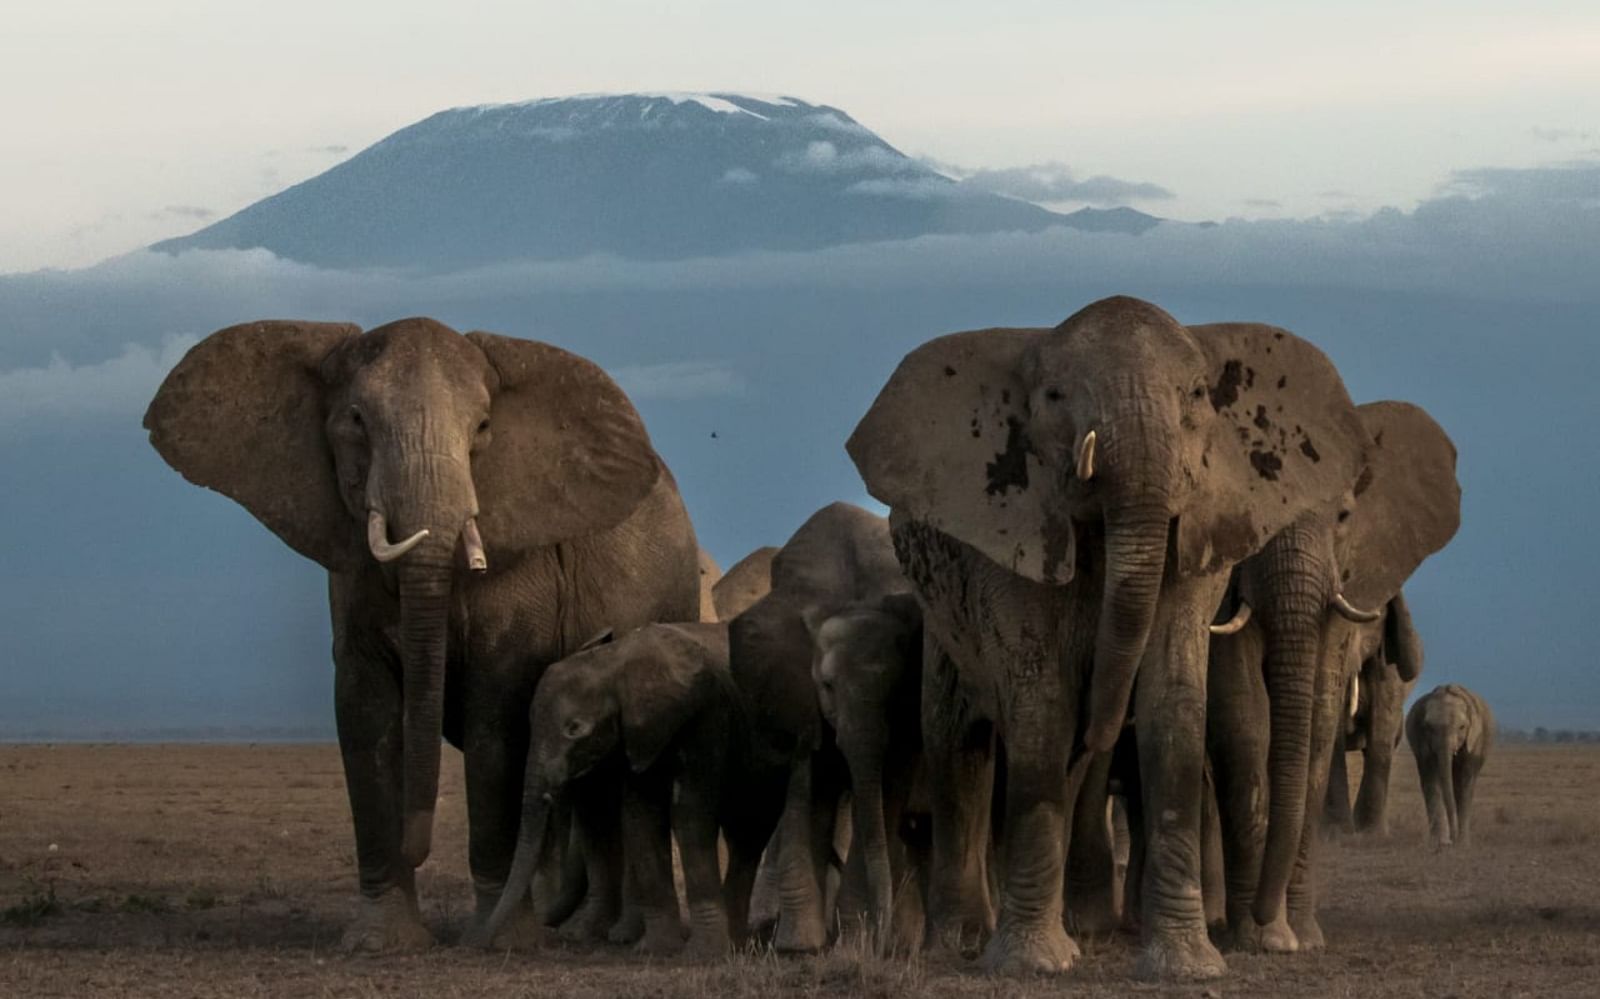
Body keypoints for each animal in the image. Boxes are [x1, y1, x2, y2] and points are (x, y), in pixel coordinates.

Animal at [143, 318, 701, 951]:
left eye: (482, 428)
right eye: (356, 420)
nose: (418, 847)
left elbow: (495, 721)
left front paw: (497, 940)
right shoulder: (349, 571)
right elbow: (364, 713)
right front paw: (381, 940)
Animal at [467, 622, 780, 956]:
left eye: (574, 729)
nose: (479, 942)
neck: (614, 663)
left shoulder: (706, 717)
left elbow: (690, 814)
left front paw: (702, 953)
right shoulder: (634, 736)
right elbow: (641, 817)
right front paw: (655, 949)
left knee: (749, 831)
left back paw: (734, 943)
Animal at [726, 502, 914, 954]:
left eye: (896, 690)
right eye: (826, 686)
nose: (885, 944)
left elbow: (882, 795)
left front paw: (852, 941)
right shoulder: (793, 689)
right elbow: (808, 782)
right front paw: (800, 946)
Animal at [848, 295, 1373, 979]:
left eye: (1198, 393)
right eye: (1053, 395)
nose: (1263, 924)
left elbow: (1174, 705)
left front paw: (1187, 966)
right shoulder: (1014, 528)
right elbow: (1042, 703)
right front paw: (1033, 965)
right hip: (940, 616)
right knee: (957, 743)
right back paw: (962, 941)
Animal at [1406, 683, 1494, 849]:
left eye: (1462, 727)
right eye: (1428, 727)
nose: (1453, 839)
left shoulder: (1474, 741)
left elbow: (1464, 782)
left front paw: (1463, 844)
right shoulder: (1422, 741)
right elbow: (1431, 779)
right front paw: (1441, 843)